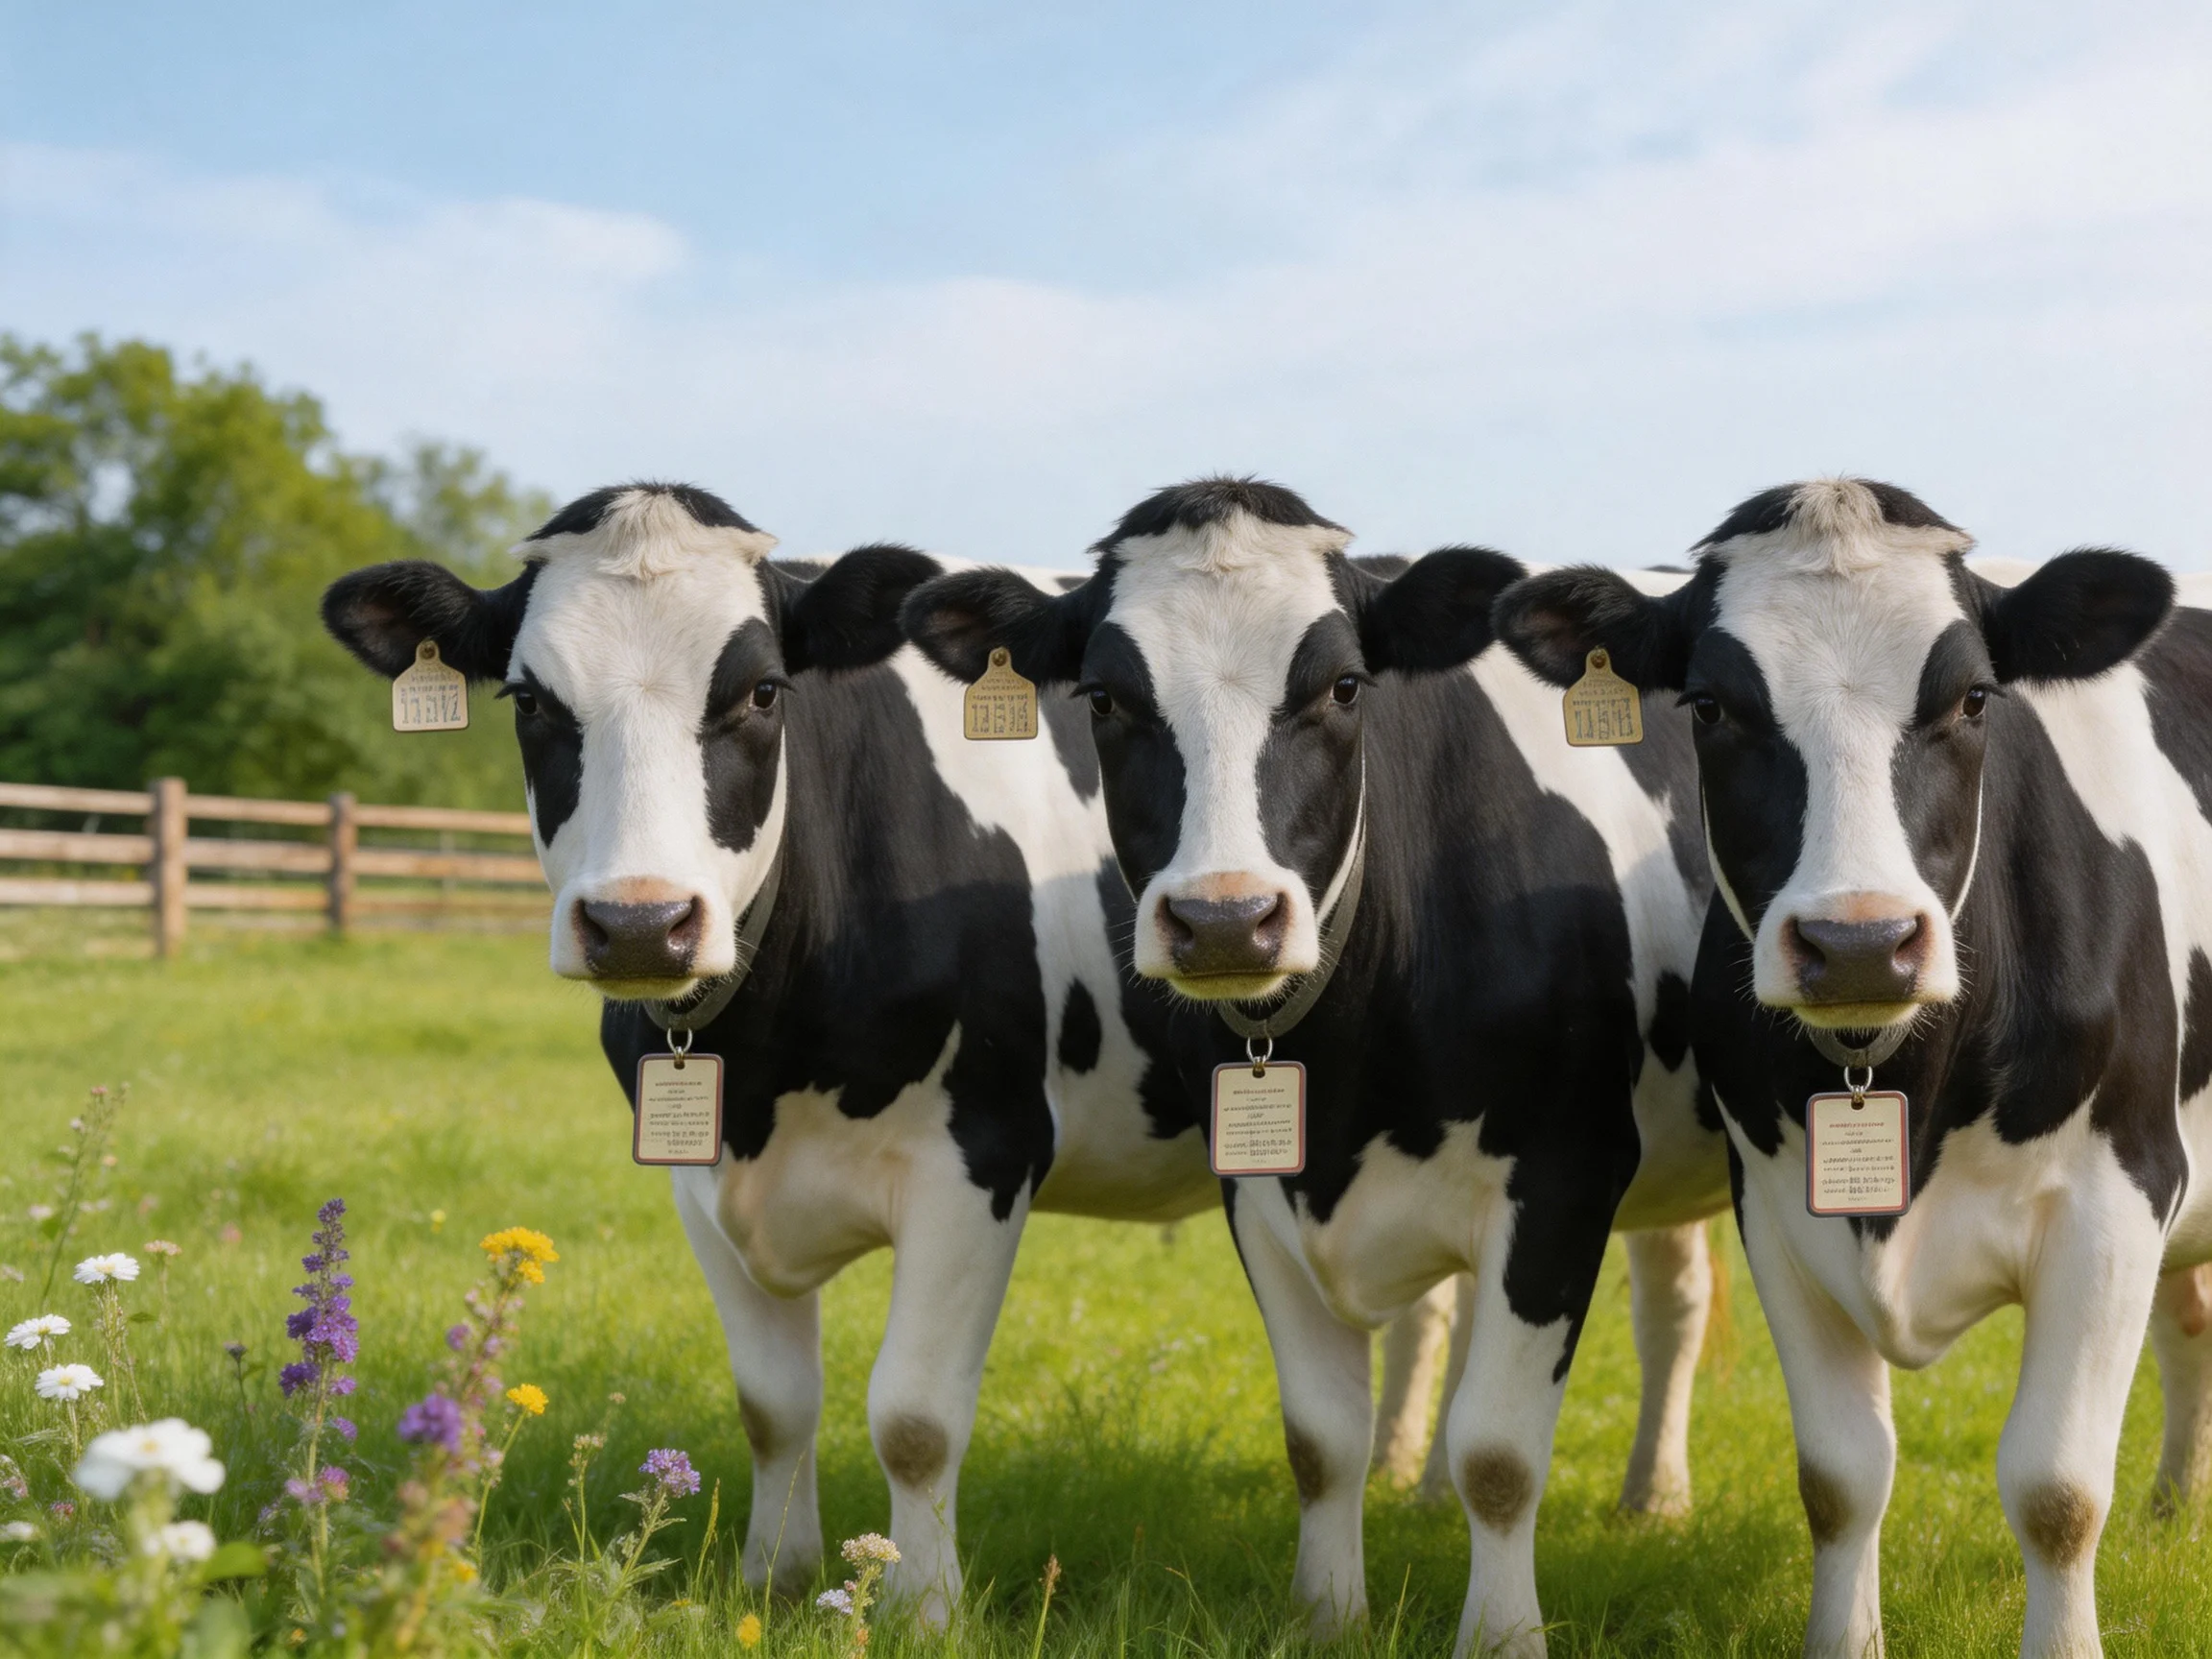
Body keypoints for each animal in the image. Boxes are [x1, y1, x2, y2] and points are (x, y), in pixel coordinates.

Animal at [318, 481, 1462, 1620]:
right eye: (528, 701)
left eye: (763, 693)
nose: (641, 925)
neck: (766, 1066)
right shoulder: (697, 1176)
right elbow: (773, 1405)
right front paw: (774, 1577)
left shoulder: (983, 1155)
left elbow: (912, 1417)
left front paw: (922, 1606)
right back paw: (1416, 1475)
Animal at [899, 477, 1729, 1656]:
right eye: (1103, 698)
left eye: (1343, 686)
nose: (1225, 920)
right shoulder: (1260, 1193)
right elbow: (1322, 1437)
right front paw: (1330, 1614)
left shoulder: (1569, 1171)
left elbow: (1502, 1453)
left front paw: (1501, 1635)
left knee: (1674, 1304)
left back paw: (1653, 1498)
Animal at [1492, 477, 2212, 1658]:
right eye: (1708, 706)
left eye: (1974, 698)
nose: (1862, 942)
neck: (1904, 1081)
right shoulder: (1778, 1209)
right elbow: (1840, 1479)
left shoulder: (2122, 1192)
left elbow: (2057, 1491)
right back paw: (2176, 1503)